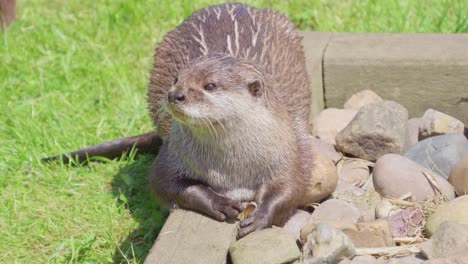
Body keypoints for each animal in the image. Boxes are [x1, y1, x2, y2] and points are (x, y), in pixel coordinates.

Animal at [43, 2, 336, 237]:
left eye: (210, 85)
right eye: (176, 79)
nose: (176, 94)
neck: (233, 169)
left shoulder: (290, 150)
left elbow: (290, 187)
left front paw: (260, 217)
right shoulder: (173, 154)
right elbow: (165, 183)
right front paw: (221, 203)